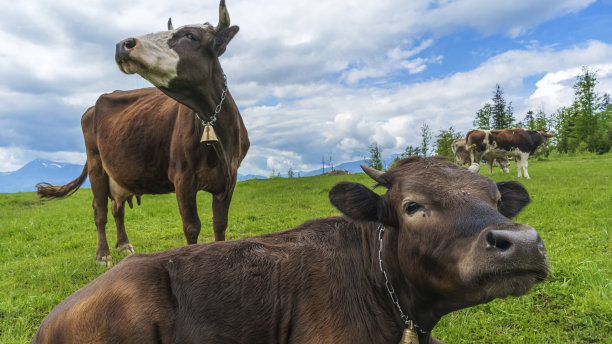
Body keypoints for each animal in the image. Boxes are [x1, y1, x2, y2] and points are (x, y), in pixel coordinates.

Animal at [35, 0, 249, 266]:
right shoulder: (182, 177)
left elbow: (220, 225)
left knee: (117, 208)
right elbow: (192, 227)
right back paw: (103, 254)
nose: (123, 44)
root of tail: (94, 105)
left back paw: (124, 245)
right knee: (100, 211)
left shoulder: (229, 179)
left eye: (190, 35)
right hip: (96, 163)